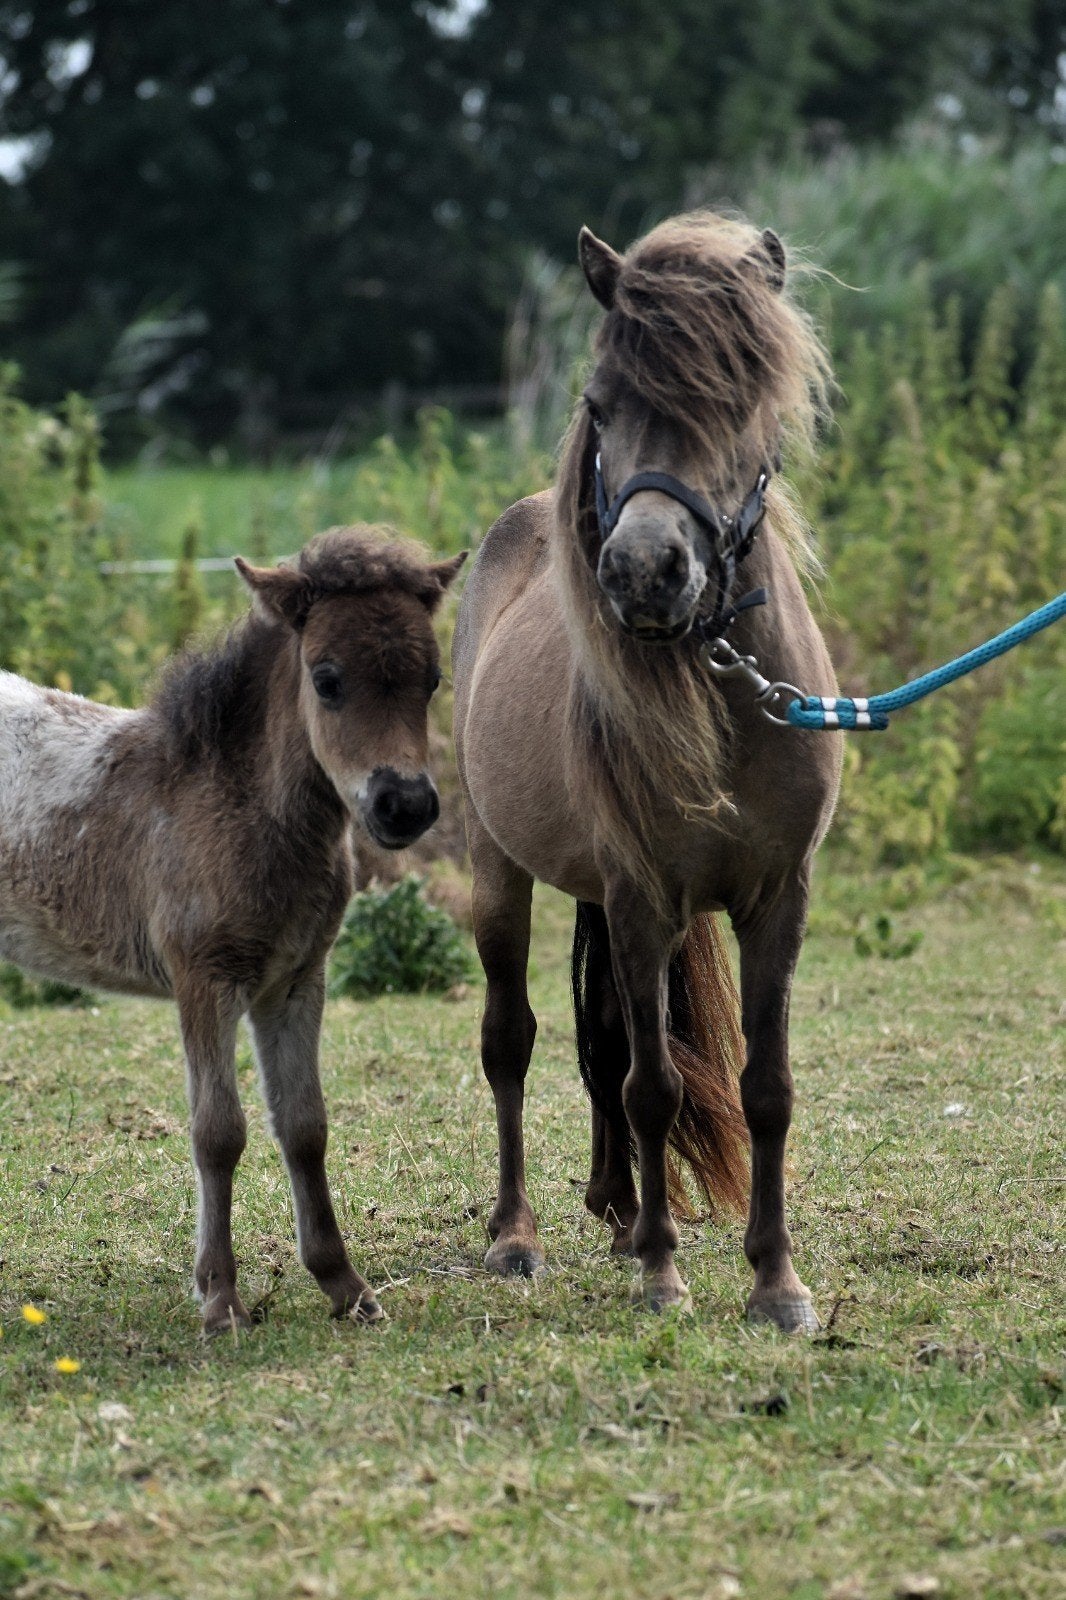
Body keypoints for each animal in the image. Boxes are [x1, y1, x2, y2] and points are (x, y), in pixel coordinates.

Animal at [0, 527, 464, 1334]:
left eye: (432, 680)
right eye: (327, 679)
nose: (403, 805)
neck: (234, 804)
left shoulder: (296, 981)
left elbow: (304, 1124)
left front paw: (345, 1285)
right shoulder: (204, 976)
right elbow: (219, 1132)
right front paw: (220, 1298)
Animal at [453, 213, 842, 1333]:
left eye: (740, 399)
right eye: (599, 405)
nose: (642, 571)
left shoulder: (776, 900)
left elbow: (764, 1087)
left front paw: (776, 1283)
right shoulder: (642, 898)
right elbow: (655, 1087)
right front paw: (666, 1278)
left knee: (612, 1044)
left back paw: (623, 1211)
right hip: (500, 876)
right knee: (514, 1040)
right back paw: (517, 1236)